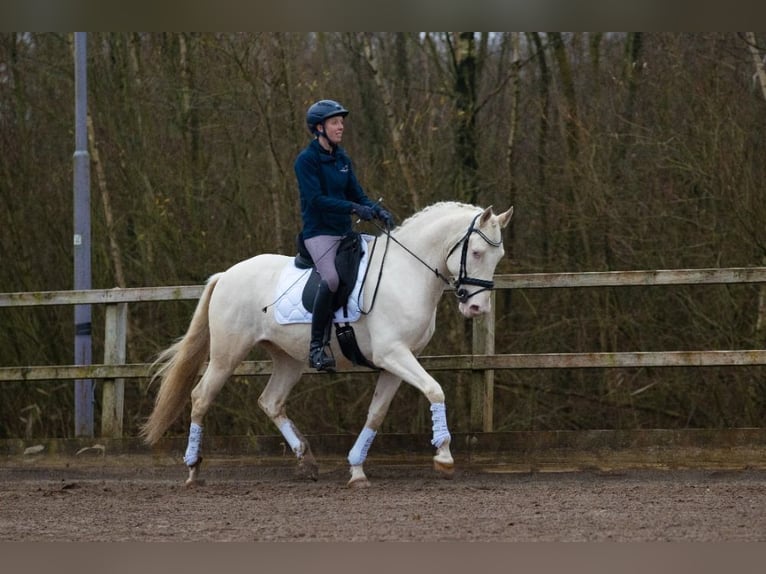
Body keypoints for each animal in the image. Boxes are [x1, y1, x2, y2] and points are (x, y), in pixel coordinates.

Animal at [142, 200, 516, 488]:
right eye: (477, 252)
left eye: (498, 257)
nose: (477, 309)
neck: (407, 272)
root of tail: (226, 275)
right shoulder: (393, 354)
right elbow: (435, 390)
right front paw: (444, 456)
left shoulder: (397, 361)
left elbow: (377, 414)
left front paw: (357, 469)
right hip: (226, 355)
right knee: (201, 397)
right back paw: (193, 470)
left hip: (289, 359)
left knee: (271, 401)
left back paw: (306, 460)